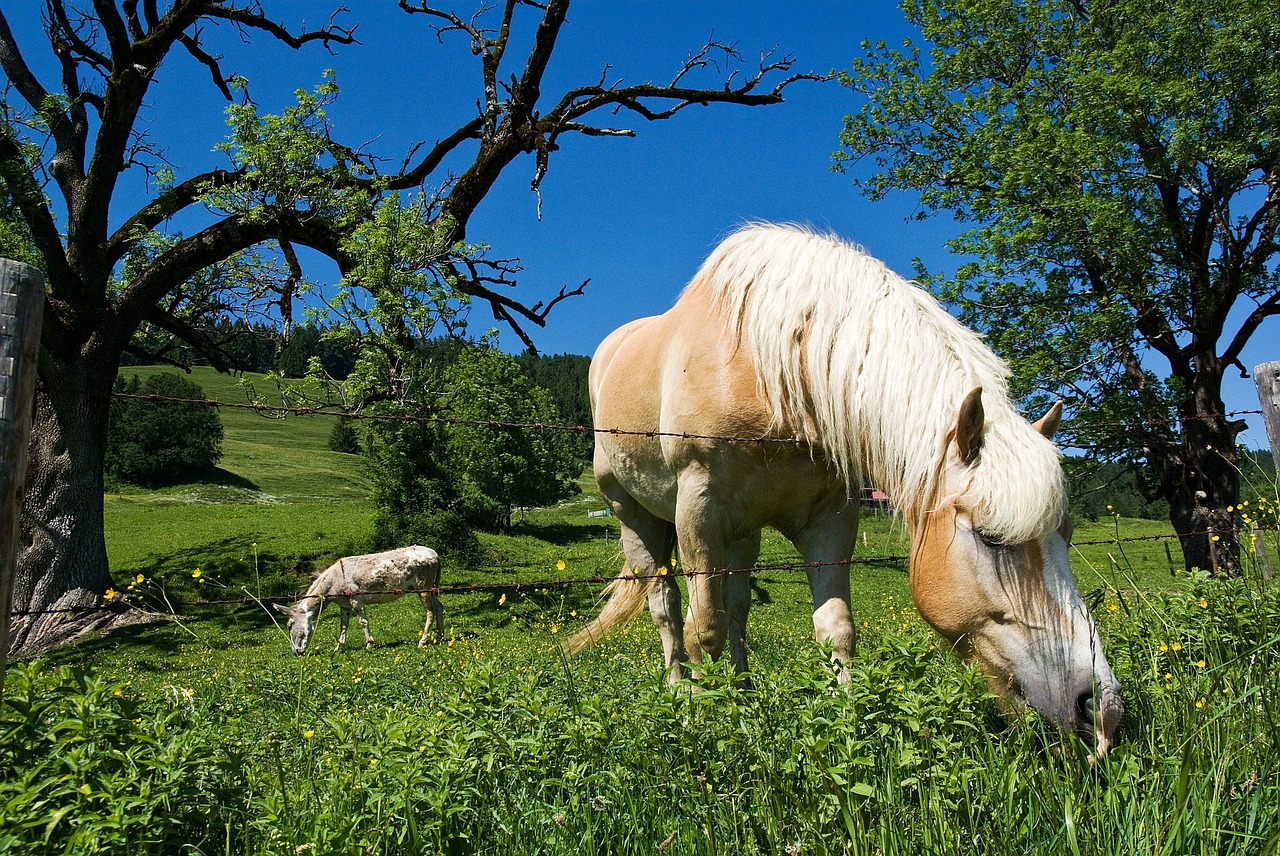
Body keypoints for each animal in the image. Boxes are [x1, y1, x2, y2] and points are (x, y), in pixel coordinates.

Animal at [271, 547, 445, 655]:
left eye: (289, 625)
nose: (296, 652)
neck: (334, 580)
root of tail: (435, 554)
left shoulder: (356, 601)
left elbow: (363, 622)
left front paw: (369, 644)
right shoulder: (344, 606)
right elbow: (343, 626)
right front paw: (338, 647)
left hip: (423, 588)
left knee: (429, 612)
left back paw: (423, 641)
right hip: (431, 589)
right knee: (439, 608)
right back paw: (440, 636)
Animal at [568, 225, 1121, 752]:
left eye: (1067, 535)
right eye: (991, 537)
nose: (1101, 707)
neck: (771, 374)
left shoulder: (829, 518)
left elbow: (835, 627)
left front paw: (844, 717)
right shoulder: (697, 512)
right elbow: (703, 627)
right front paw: (708, 720)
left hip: (743, 532)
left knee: (738, 604)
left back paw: (742, 691)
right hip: (636, 517)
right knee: (665, 606)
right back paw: (681, 691)